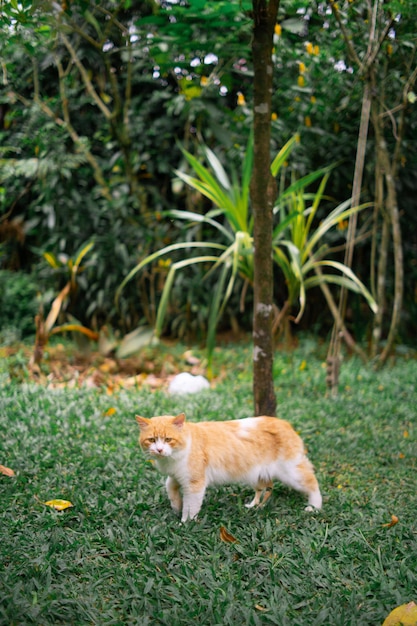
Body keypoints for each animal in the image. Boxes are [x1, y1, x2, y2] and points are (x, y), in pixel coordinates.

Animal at [136, 412, 322, 520]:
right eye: (151, 440)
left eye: (168, 439)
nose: (159, 450)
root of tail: (285, 424)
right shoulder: (178, 475)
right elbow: (169, 486)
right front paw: (176, 506)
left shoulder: (195, 484)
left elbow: (190, 507)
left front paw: (185, 523)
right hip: (258, 475)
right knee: (265, 489)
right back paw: (253, 507)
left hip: (290, 473)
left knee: (312, 482)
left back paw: (314, 507)